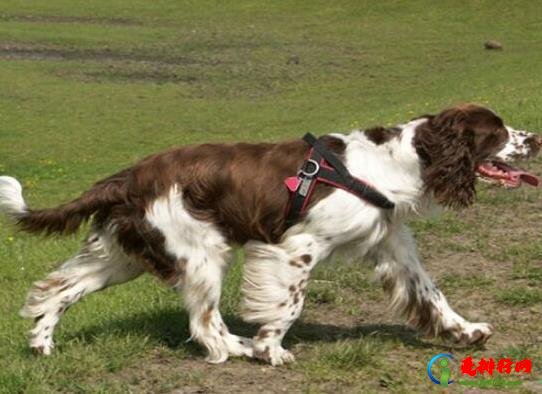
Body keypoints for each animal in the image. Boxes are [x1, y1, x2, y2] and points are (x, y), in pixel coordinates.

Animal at [0, 103, 540, 364]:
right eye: (496, 132)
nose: (534, 138)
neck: (395, 163)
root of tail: (131, 175)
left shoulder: (394, 246)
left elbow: (433, 294)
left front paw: (466, 331)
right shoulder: (296, 247)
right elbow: (289, 304)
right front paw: (271, 348)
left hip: (125, 255)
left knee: (58, 289)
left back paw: (42, 345)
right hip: (202, 253)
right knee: (206, 325)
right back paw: (240, 348)